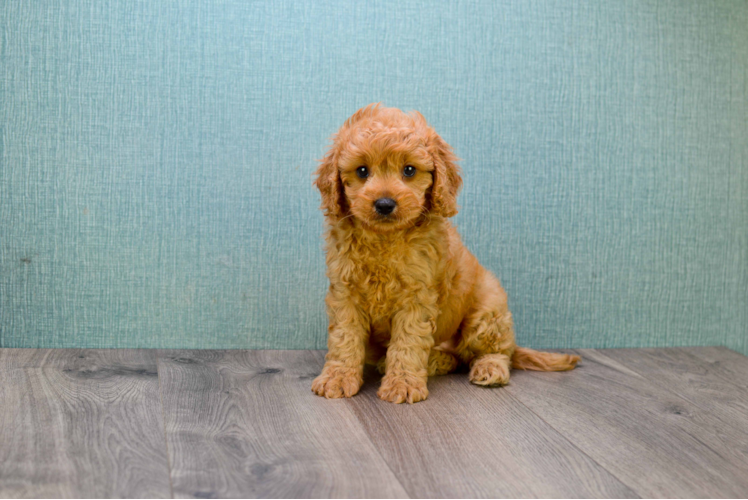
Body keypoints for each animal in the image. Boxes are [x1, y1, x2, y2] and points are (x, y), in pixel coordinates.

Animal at [310, 103, 580, 404]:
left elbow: (408, 342)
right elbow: (344, 339)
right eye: (362, 171)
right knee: (456, 357)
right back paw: (433, 361)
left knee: (494, 352)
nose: (384, 204)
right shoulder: (345, 293)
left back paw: (489, 368)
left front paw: (403, 383)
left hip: (487, 313)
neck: (385, 239)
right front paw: (337, 378)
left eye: (409, 170)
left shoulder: (417, 297)